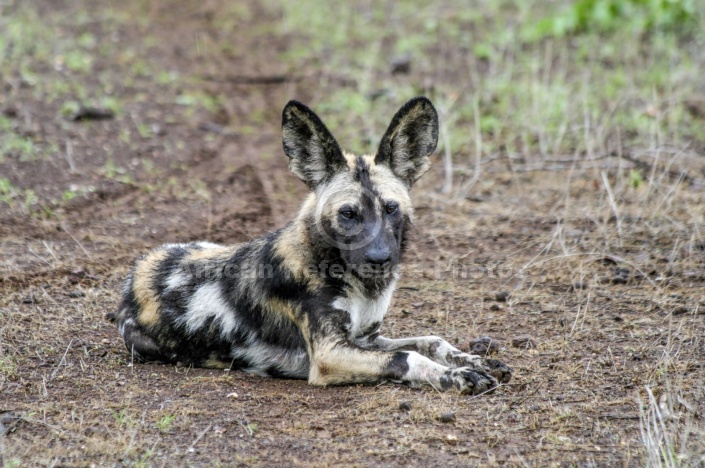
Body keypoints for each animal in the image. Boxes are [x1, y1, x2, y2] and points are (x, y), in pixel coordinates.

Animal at [113, 97, 516, 394]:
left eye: (390, 208)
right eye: (348, 214)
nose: (380, 259)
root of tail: (135, 275)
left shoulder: (368, 338)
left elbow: (430, 341)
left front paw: (475, 360)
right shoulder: (330, 353)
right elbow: (408, 357)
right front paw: (457, 375)